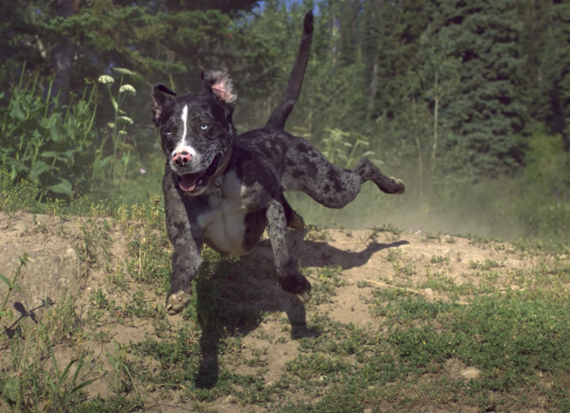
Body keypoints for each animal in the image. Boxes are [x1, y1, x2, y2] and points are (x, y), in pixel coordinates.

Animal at [151, 12, 404, 316]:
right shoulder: (185, 230)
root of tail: (273, 127)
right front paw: (177, 293)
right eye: (168, 131)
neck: (217, 187)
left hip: (329, 187)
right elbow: (182, 263)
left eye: (204, 126)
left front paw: (296, 285)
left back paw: (393, 185)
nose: (181, 157)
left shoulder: (268, 207)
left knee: (364, 166)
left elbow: (282, 257)